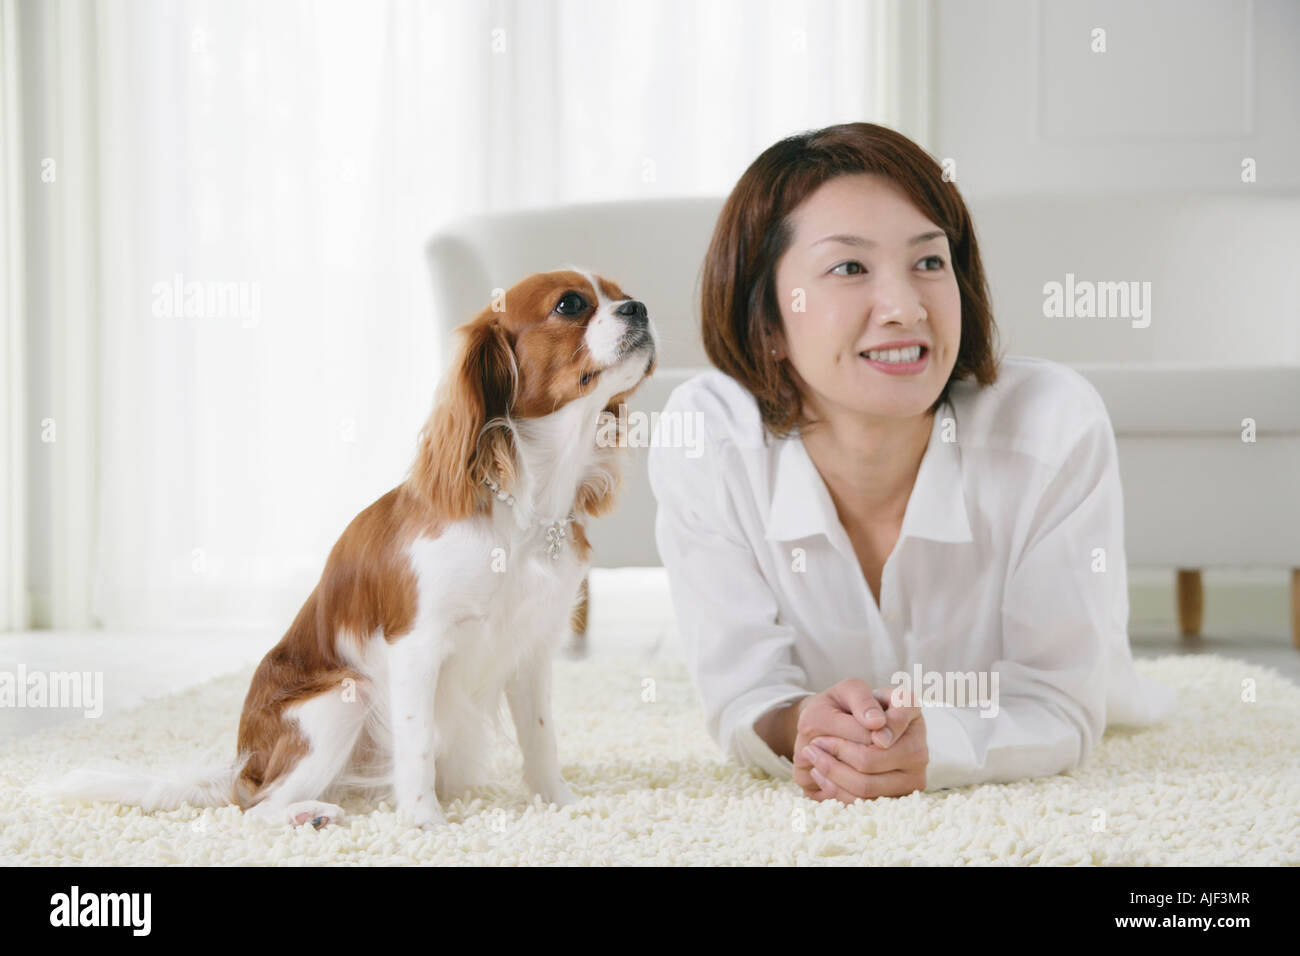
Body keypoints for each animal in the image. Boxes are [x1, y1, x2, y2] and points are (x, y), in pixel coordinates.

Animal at [50, 269, 660, 832]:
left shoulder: (531, 649)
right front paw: (425, 822)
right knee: (255, 807)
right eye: (571, 304)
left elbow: (541, 740)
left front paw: (560, 804)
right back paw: (308, 814)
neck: (522, 509)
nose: (640, 307)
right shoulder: (415, 646)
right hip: (339, 701)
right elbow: (416, 746)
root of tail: (241, 765)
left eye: (620, 292)